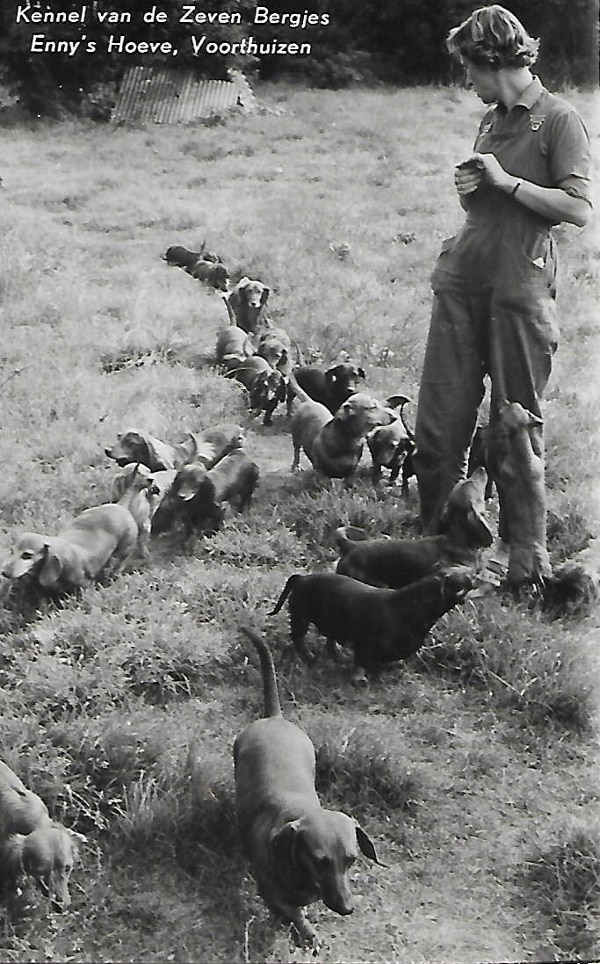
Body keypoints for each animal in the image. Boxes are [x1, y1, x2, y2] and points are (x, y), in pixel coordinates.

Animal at [233, 628, 380, 944]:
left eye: (351, 860)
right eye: (319, 860)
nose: (346, 908)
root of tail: (274, 717)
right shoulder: (269, 891)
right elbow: (292, 912)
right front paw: (307, 932)